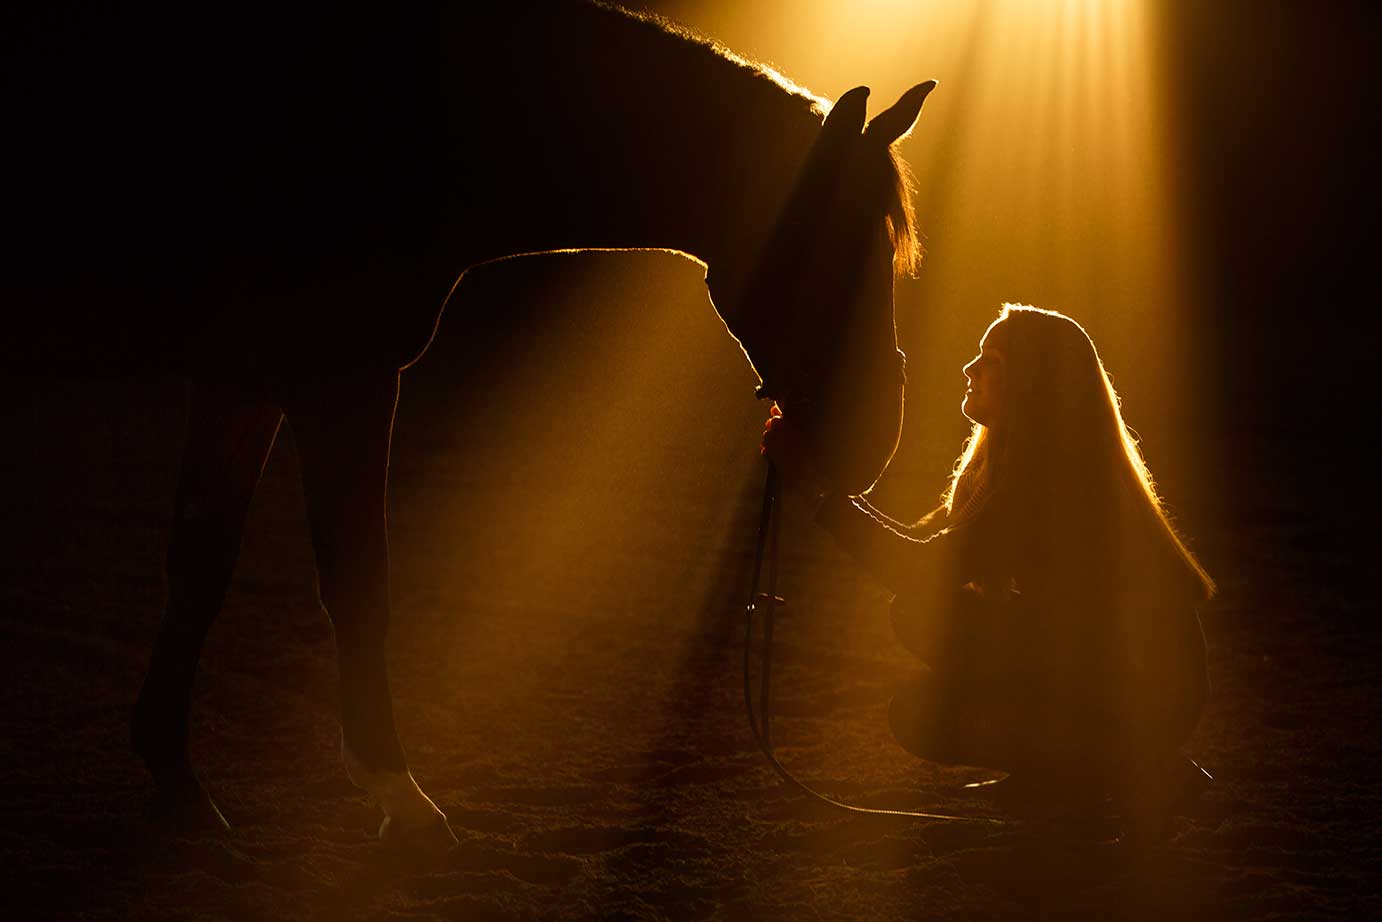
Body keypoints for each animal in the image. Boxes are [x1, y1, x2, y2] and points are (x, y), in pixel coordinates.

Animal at [2, 1, 939, 851]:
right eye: (837, 248)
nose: (874, 439)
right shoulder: (339, 380)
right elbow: (359, 582)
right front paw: (399, 794)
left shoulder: (243, 381)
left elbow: (199, 569)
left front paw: (177, 780)